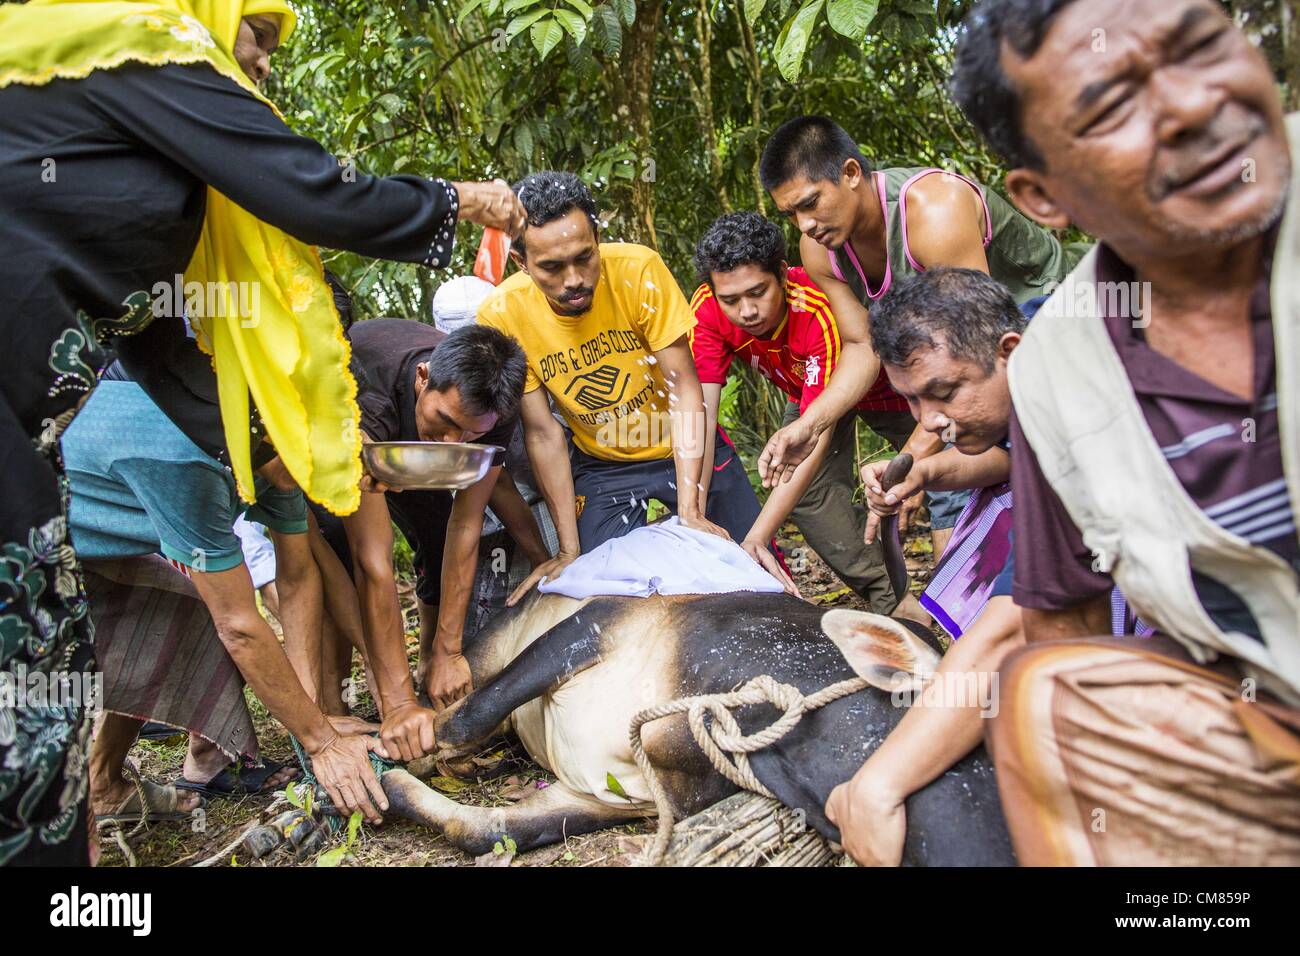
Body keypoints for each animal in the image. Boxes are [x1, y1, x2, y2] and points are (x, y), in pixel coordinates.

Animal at [376, 587, 1015, 866]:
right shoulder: (599, 622)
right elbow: (462, 721)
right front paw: (395, 757)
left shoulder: (623, 798)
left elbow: (483, 831)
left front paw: (393, 785)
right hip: (490, 643)